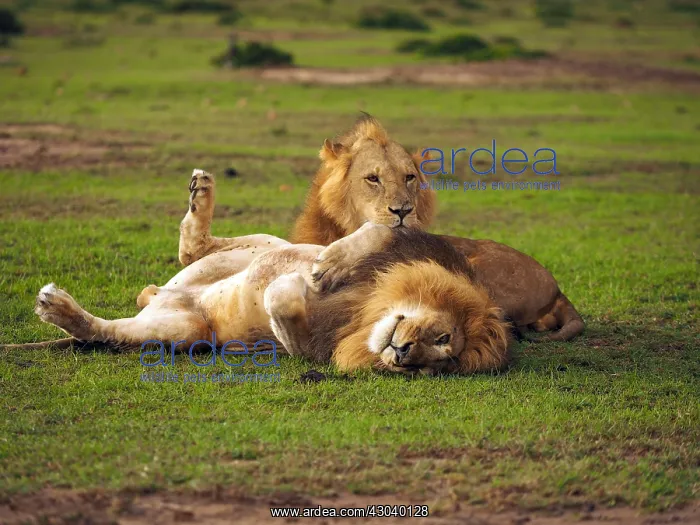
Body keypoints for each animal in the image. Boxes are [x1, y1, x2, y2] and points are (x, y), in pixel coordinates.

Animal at [5, 170, 509, 375]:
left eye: (436, 362)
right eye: (443, 338)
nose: (404, 355)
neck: (373, 308)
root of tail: (165, 296)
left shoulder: (317, 349)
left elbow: (286, 313)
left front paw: (295, 292)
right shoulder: (421, 242)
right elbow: (381, 229)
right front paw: (329, 268)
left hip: (185, 329)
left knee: (107, 331)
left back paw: (58, 308)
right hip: (265, 247)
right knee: (192, 248)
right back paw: (201, 190)